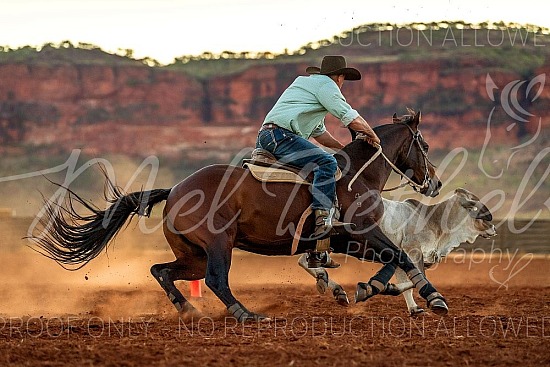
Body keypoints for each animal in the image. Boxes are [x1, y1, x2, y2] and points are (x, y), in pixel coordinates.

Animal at [29, 111, 448, 322]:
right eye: (425, 144)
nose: (435, 183)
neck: (354, 176)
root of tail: (175, 189)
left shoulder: (347, 241)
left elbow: (396, 259)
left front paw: (376, 290)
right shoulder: (360, 234)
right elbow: (399, 256)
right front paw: (425, 296)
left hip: (193, 255)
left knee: (162, 271)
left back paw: (189, 309)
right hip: (218, 245)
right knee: (216, 279)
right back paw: (246, 314)